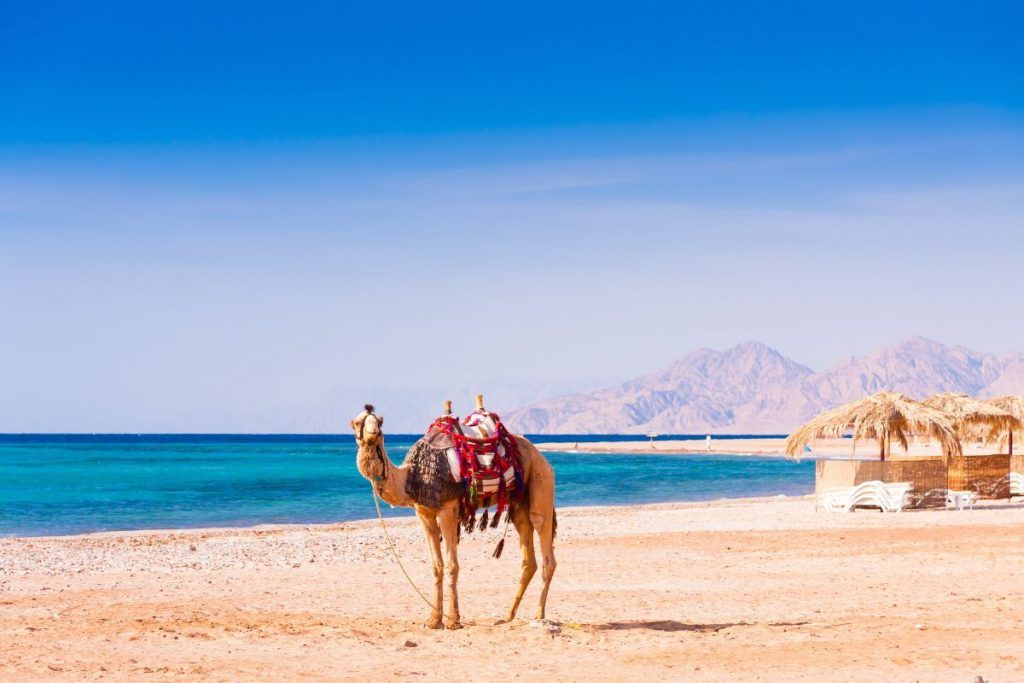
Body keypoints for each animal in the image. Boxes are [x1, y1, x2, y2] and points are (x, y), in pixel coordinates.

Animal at [350, 404, 557, 630]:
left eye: (379, 422)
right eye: (359, 422)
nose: (373, 432)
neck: (411, 476)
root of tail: (540, 455)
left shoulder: (447, 509)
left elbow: (452, 565)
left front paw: (453, 621)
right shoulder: (424, 513)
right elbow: (436, 566)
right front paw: (434, 620)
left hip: (541, 480)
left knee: (544, 540)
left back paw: (539, 615)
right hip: (518, 502)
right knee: (528, 555)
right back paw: (507, 616)